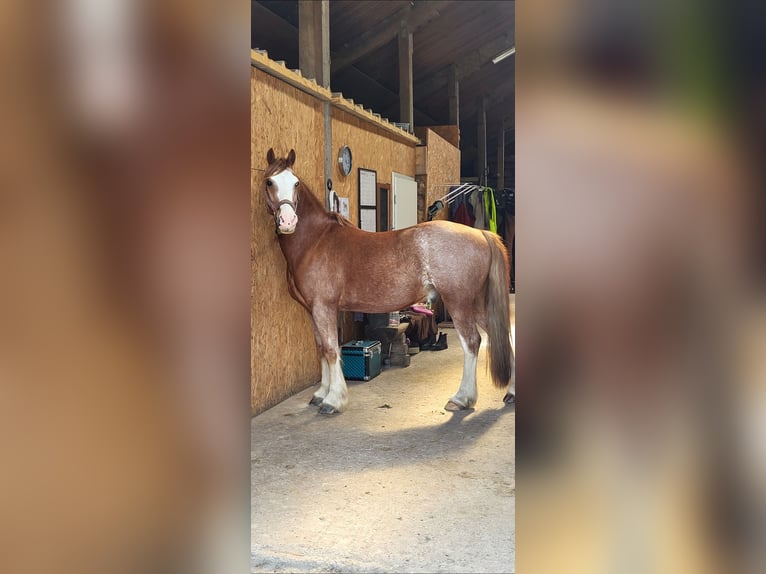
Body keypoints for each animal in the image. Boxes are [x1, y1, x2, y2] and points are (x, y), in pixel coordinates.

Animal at [263, 148, 514, 415]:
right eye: (269, 182)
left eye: (296, 183)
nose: (288, 222)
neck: (316, 240)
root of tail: (481, 233)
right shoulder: (312, 310)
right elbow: (321, 348)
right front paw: (321, 394)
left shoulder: (324, 307)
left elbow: (331, 350)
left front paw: (333, 400)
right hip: (477, 304)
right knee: (500, 335)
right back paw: (510, 393)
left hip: (459, 303)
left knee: (472, 343)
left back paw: (461, 398)